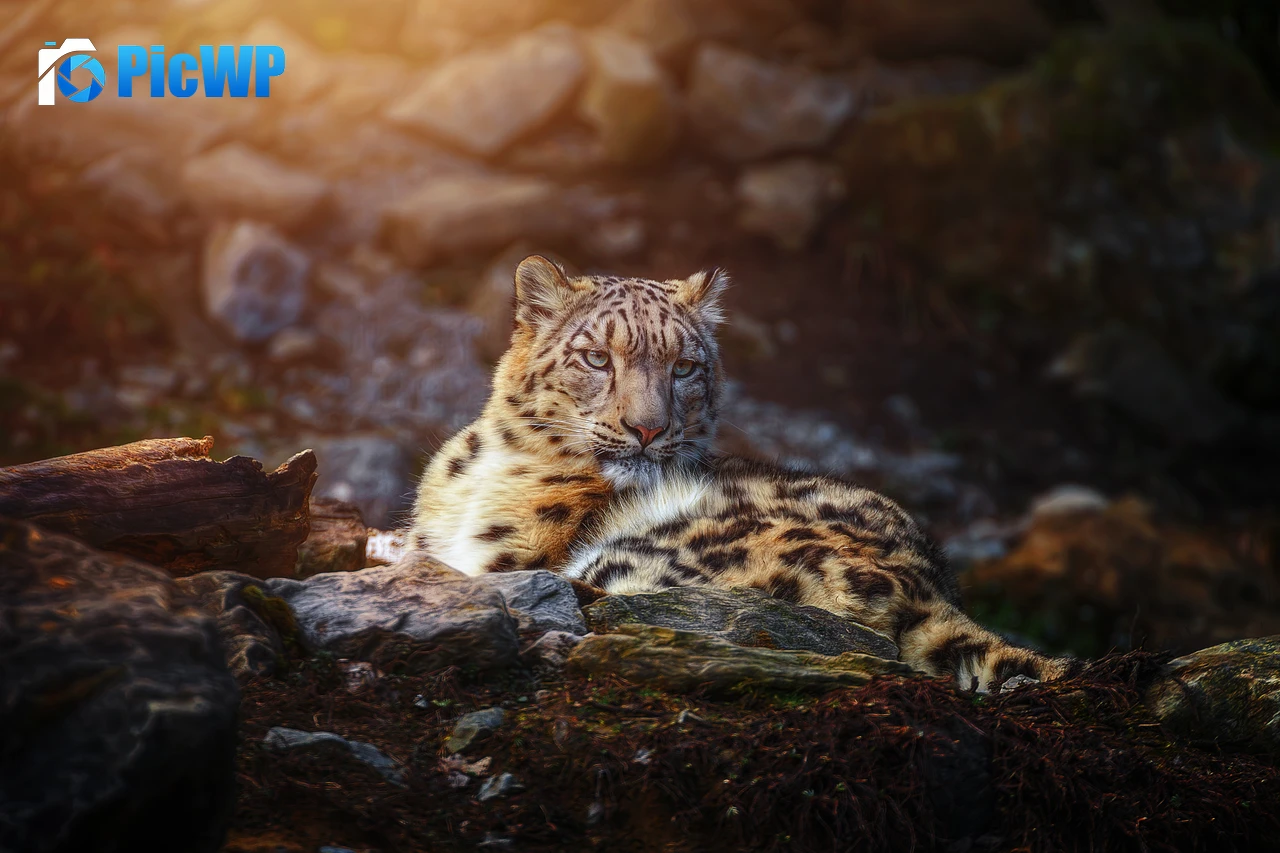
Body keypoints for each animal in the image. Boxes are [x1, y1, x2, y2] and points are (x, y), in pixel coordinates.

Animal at [410, 255, 1076, 691]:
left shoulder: (513, 555)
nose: (647, 429)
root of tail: (934, 594)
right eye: (596, 358)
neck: (488, 466)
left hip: (649, 556)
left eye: (684, 367)